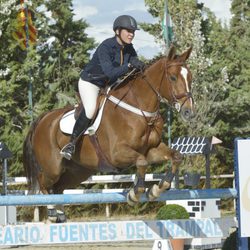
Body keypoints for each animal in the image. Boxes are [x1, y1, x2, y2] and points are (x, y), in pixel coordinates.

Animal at [23, 46, 195, 222]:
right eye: (173, 77)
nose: (189, 112)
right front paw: (134, 194)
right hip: (52, 168)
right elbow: (142, 162)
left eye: (190, 78)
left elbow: (176, 156)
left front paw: (157, 189)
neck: (140, 110)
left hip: (78, 171)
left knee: (58, 188)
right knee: (44, 184)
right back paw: (51, 213)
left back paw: (60, 215)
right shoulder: (116, 154)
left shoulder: (151, 150)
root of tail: (43, 118)